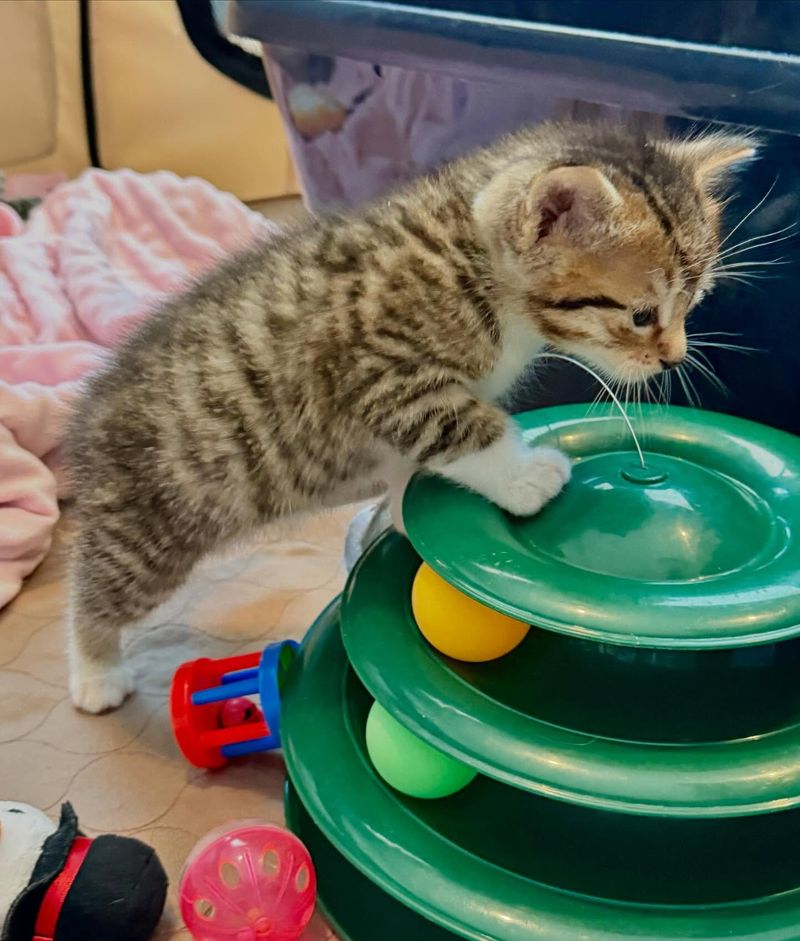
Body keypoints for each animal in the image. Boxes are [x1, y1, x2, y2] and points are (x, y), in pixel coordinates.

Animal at [64, 125, 756, 712]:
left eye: (693, 302)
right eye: (641, 315)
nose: (675, 356)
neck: (474, 259)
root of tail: (86, 419)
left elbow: (413, 461)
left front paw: (399, 515)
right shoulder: (382, 373)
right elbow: (465, 427)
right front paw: (527, 477)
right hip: (151, 527)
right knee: (97, 592)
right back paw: (96, 674)